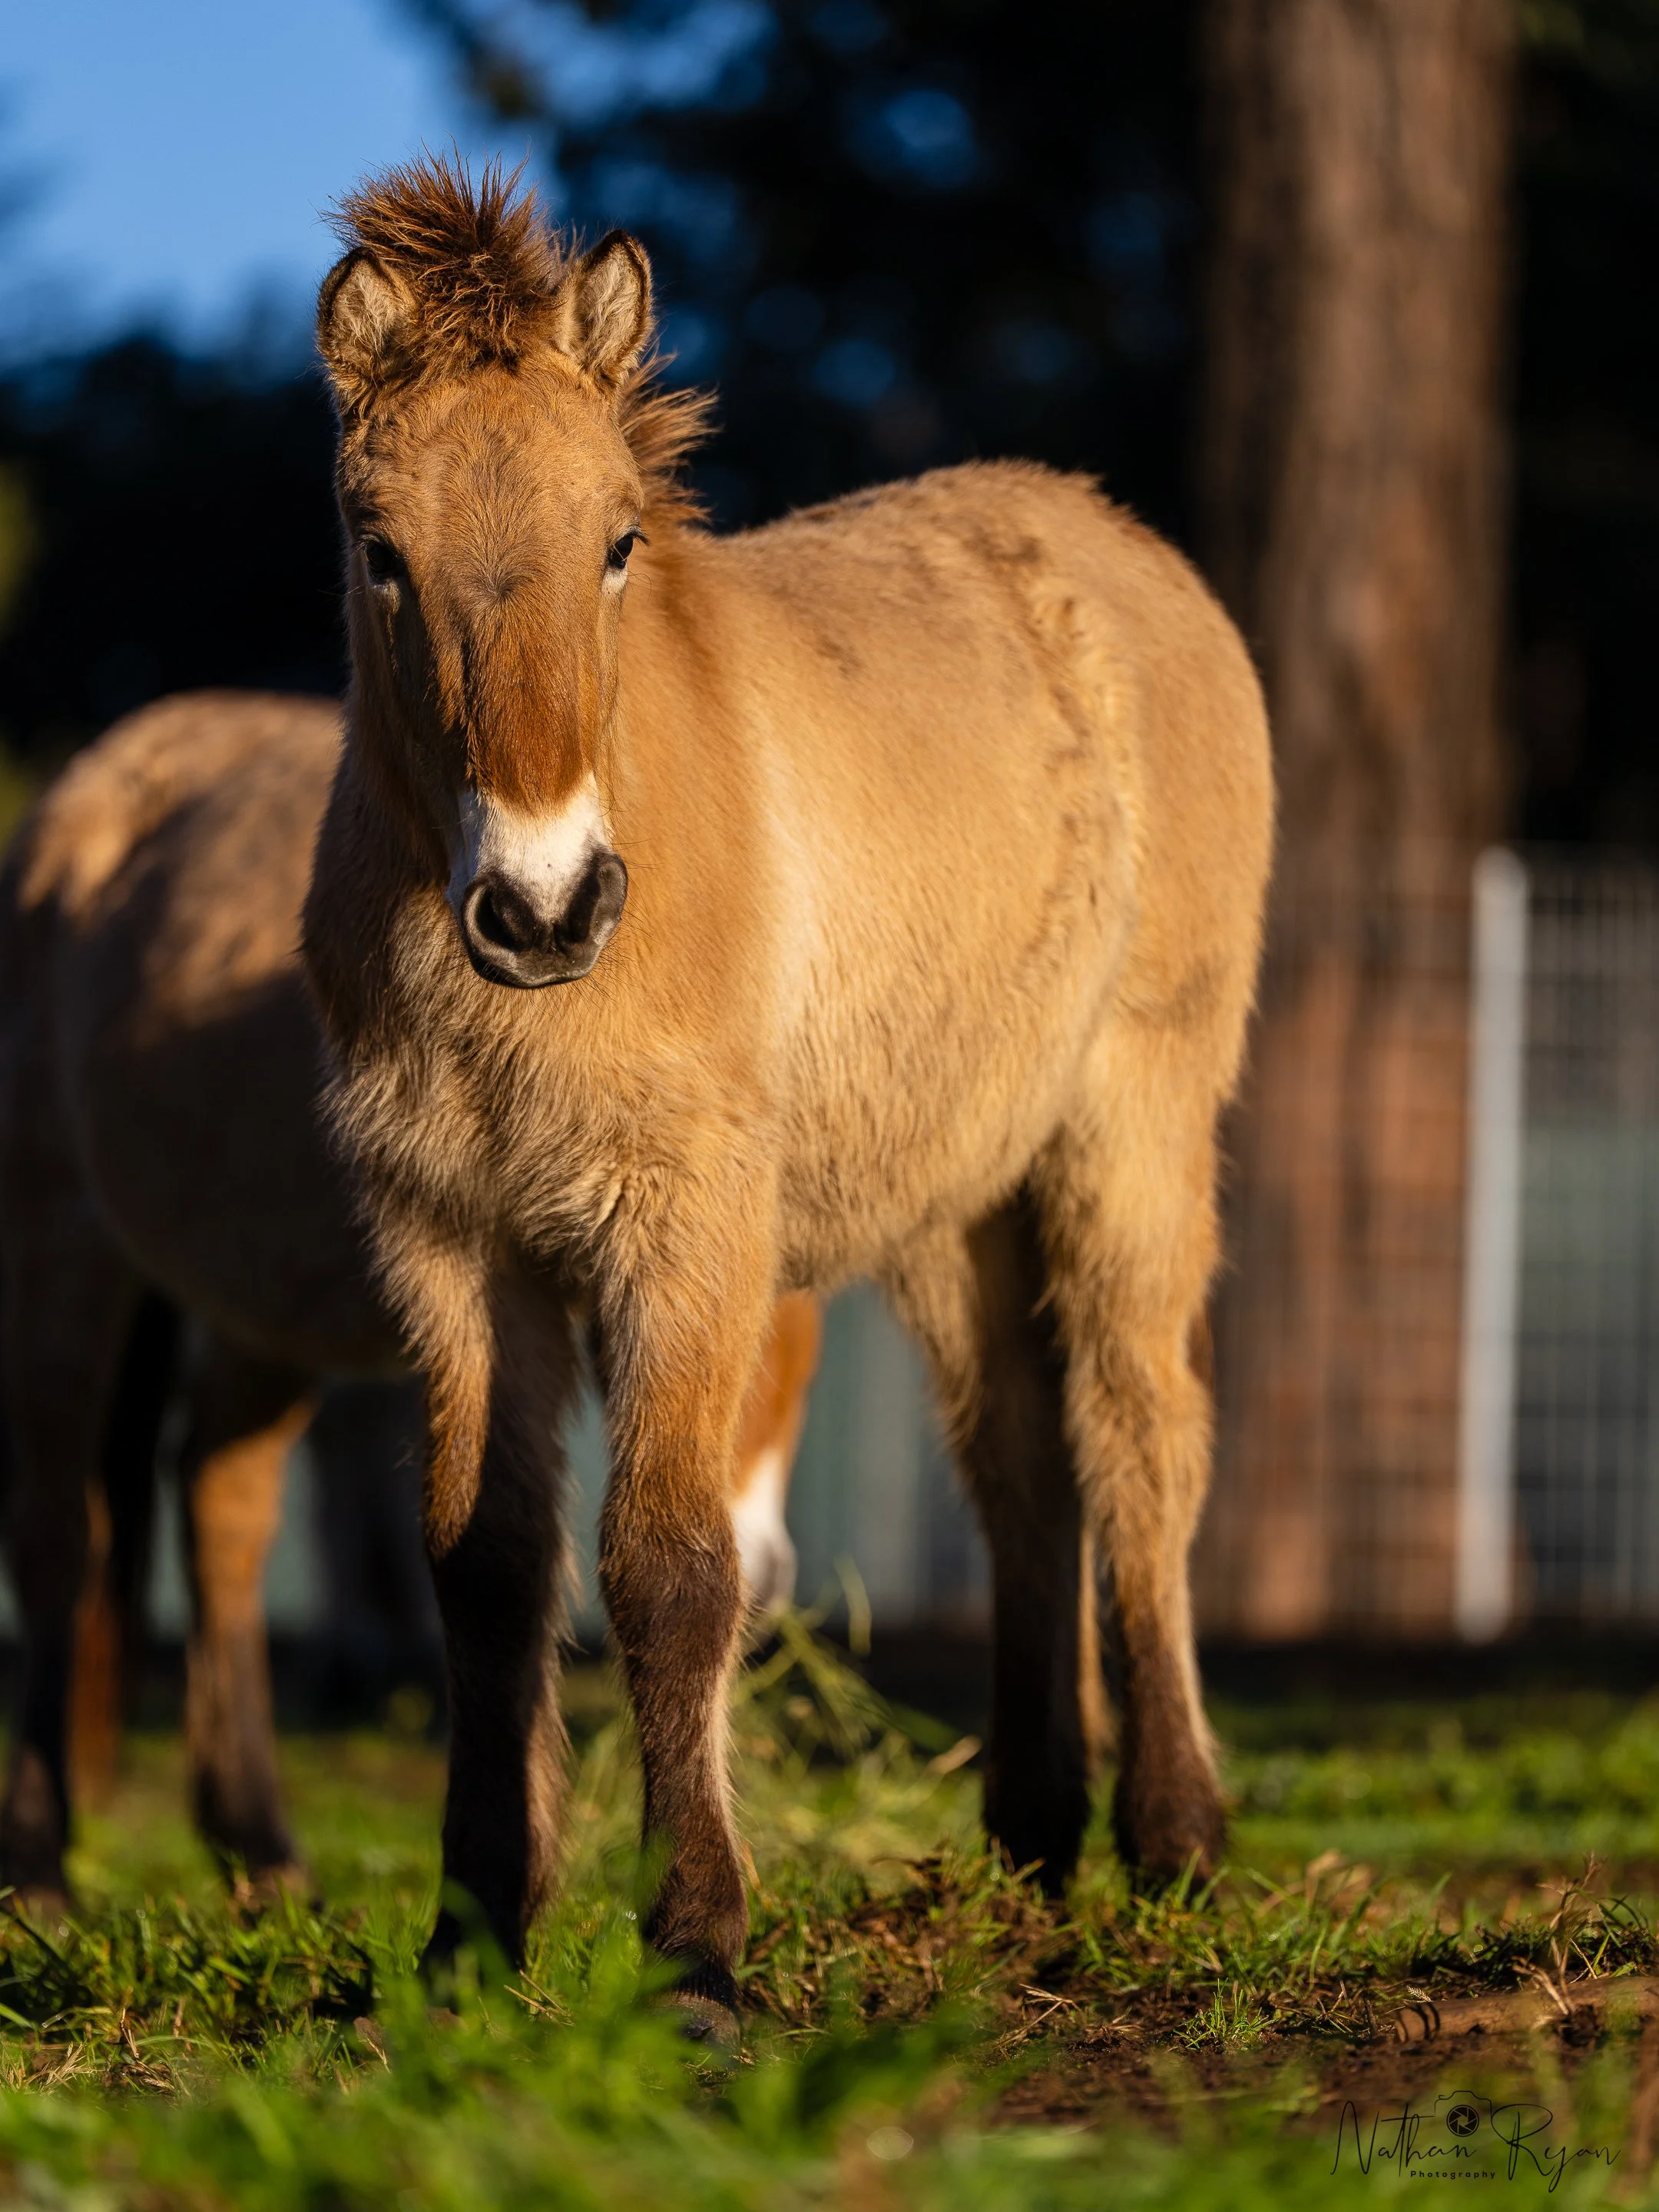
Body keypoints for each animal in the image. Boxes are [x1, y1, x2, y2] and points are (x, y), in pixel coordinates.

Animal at [0, 689, 820, 1907]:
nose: (763, 1573)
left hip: (262, 1309)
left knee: (220, 1504)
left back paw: (260, 1847)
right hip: (63, 1251)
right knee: (64, 1536)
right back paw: (41, 1865)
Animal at [302, 156, 1273, 2032]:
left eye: (619, 541)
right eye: (378, 553)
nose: (543, 907)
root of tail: (1119, 546)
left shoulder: (691, 1231)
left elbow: (667, 1565)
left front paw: (696, 1949)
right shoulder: (449, 1245)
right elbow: (486, 1571)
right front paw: (473, 1936)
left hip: (1132, 1124)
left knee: (1142, 1437)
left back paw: (1179, 1838)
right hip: (958, 1196)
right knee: (1021, 1462)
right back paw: (1034, 1837)